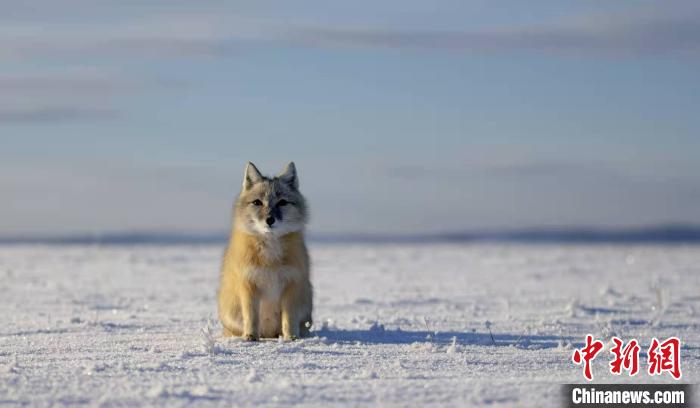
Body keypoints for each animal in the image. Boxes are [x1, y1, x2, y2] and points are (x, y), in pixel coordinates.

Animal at [219, 161, 312, 340]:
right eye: (257, 202)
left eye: (282, 202)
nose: (270, 220)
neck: (270, 259)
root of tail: (268, 333)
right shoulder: (248, 283)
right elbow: (251, 317)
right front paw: (251, 336)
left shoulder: (292, 283)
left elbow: (289, 318)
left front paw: (291, 338)